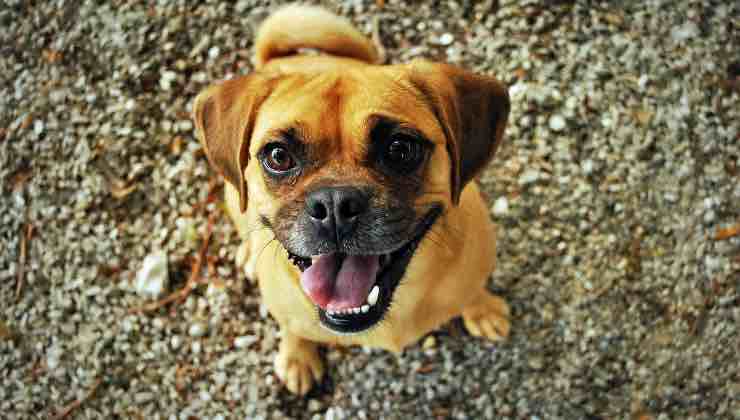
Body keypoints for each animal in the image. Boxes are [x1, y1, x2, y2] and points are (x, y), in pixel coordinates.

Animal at [194, 4, 512, 396]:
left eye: (400, 149)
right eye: (278, 156)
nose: (334, 205)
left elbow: (473, 292)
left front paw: (482, 309)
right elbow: (291, 328)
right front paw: (297, 356)